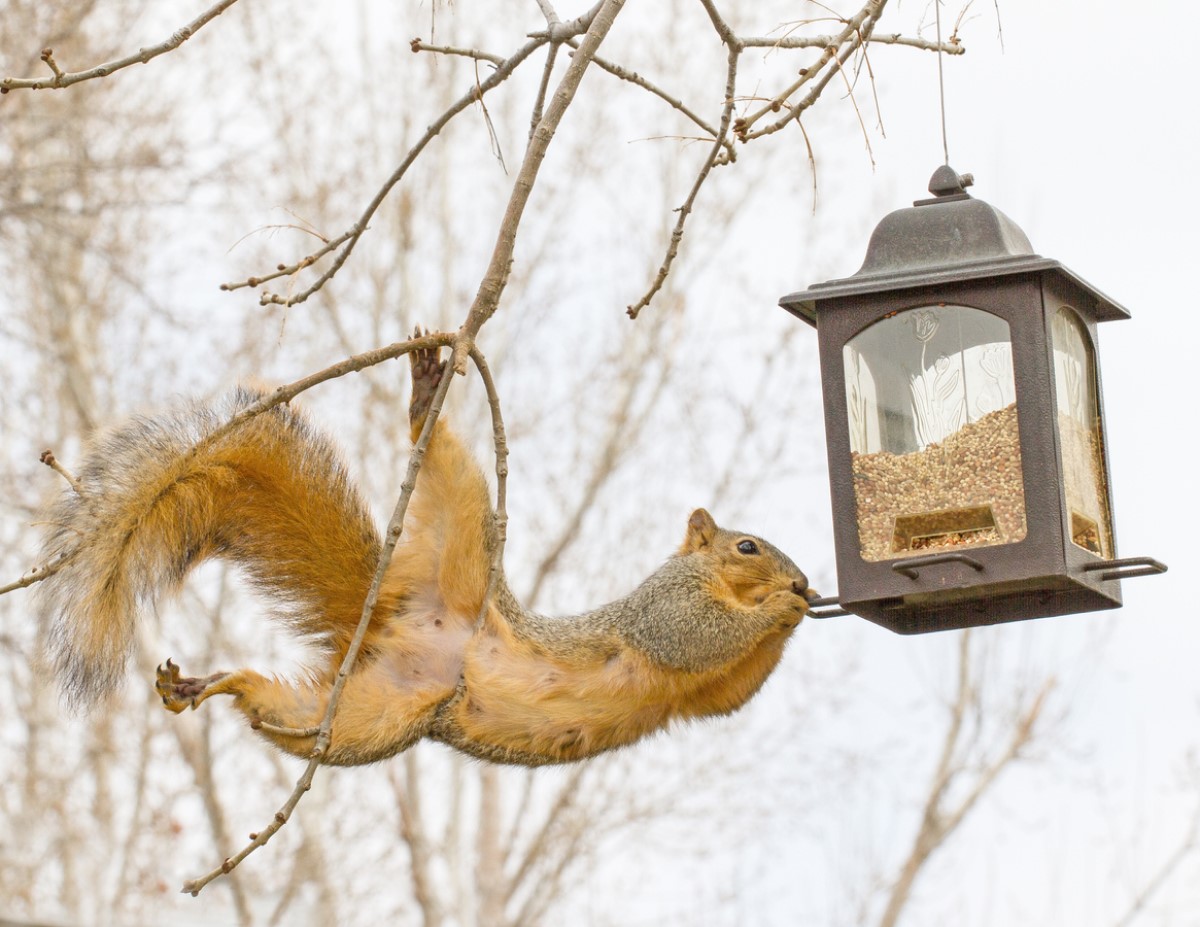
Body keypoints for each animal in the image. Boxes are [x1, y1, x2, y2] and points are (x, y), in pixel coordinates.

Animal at [35, 341, 816, 768]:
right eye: (746, 545)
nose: (805, 579)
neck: (711, 576)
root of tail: (391, 618)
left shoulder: (701, 695)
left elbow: (729, 690)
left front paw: (797, 608)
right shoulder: (663, 606)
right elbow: (694, 637)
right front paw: (782, 607)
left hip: (367, 719)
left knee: (280, 711)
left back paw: (213, 683)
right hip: (463, 532)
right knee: (444, 464)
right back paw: (424, 395)